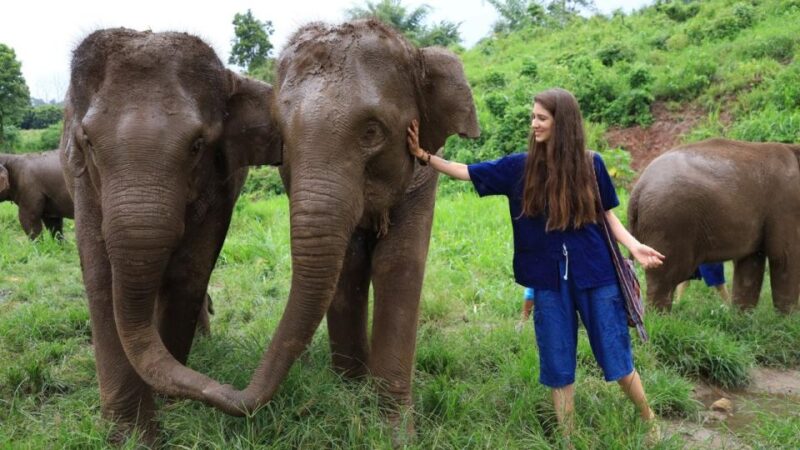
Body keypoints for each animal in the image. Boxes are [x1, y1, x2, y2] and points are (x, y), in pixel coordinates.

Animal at [60, 28, 281, 440]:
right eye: (89, 143)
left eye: (197, 146)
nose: (230, 391)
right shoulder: (83, 184)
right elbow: (100, 279)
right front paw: (131, 436)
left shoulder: (220, 185)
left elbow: (188, 275)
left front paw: (166, 407)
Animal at [202, 19, 480, 432]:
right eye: (282, 139)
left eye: (372, 132)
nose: (218, 388)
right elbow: (346, 269)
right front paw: (349, 393)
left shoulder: (422, 180)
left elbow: (397, 265)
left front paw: (395, 430)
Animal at [628, 138, 800, 313]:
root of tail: (638, 188)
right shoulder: (786, 204)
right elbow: (784, 256)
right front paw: (789, 317)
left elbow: (751, 261)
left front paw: (742, 315)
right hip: (668, 223)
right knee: (665, 275)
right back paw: (661, 316)